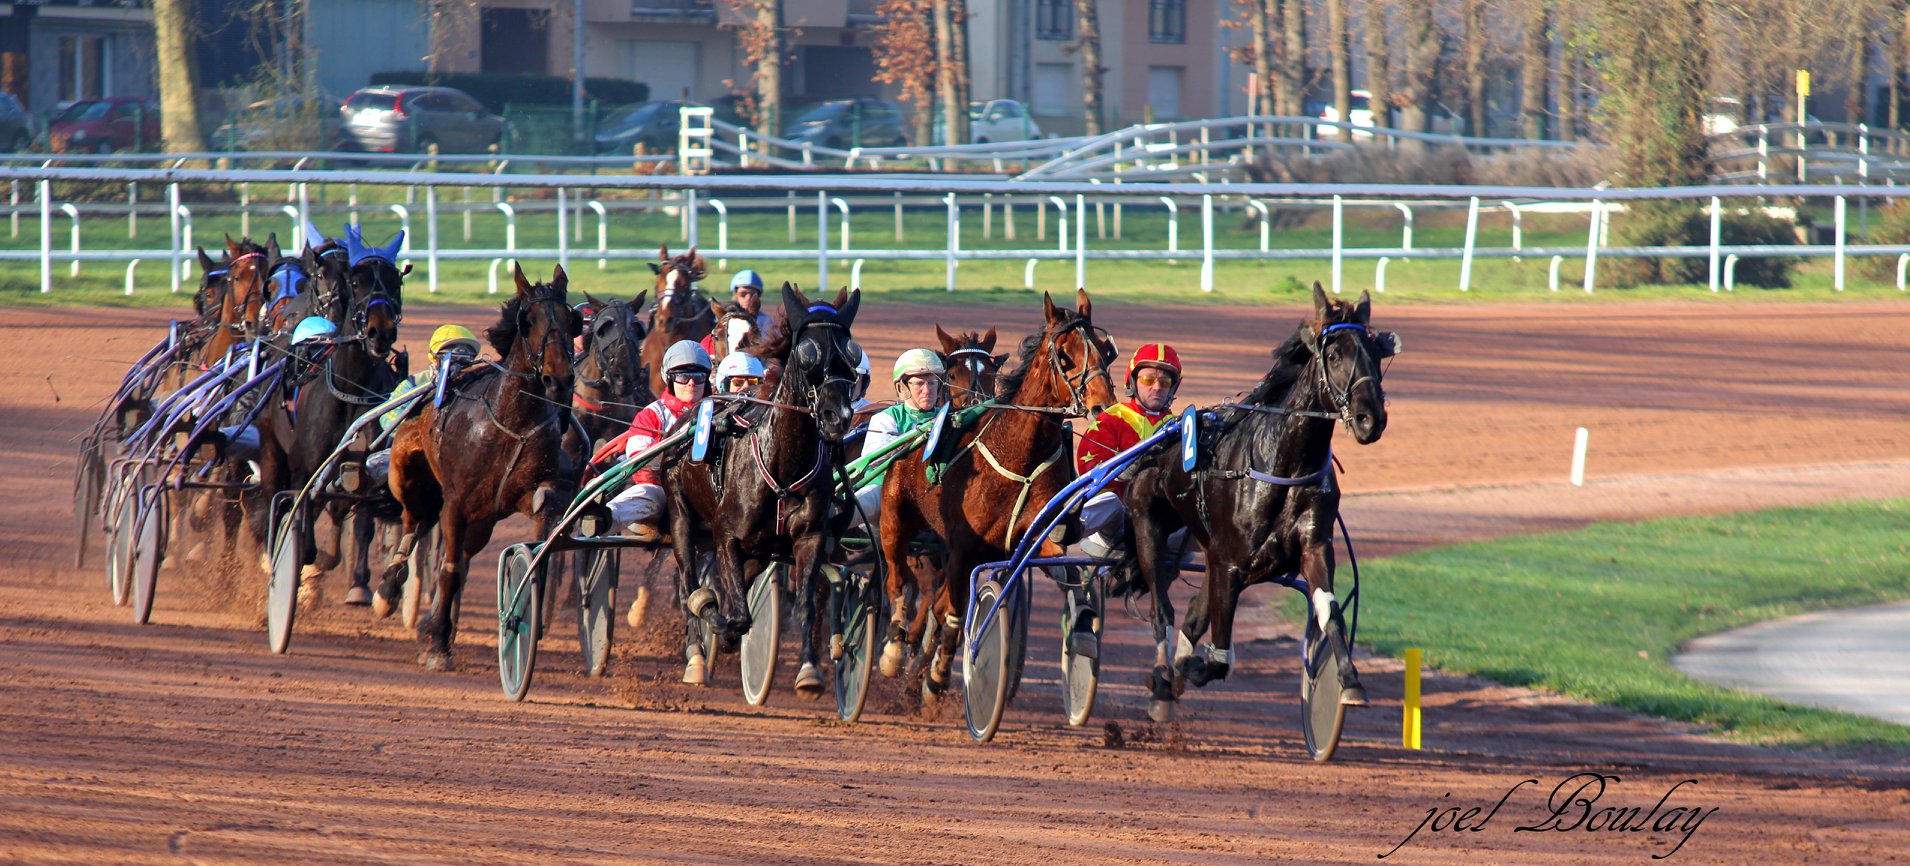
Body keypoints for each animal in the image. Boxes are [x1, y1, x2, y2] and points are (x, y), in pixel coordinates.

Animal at [374, 263, 576, 669]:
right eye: (529, 321)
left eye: (570, 319)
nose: (559, 378)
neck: (510, 423)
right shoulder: (455, 503)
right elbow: (449, 570)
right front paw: (436, 643)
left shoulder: (524, 494)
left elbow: (543, 517)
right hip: (408, 476)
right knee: (414, 522)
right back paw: (389, 591)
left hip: (483, 519)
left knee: (459, 551)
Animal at [664, 282, 859, 695]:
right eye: (807, 351)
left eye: (851, 351)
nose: (838, 417)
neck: (782, 463)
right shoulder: (725, 536)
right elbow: (734, 613)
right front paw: (715, 620)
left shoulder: (809, 537)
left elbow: (804, 605)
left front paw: (809, 670)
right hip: (679, 514)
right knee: (688, 581)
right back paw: (696, 654)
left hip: (759, 549)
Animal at [874, 294, 1115, 692]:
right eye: (1065, 356)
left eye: (1105, 351)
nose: (1102, 405)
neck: (1017, 457)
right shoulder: (960, 549)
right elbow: (954, 615)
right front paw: (939, 674)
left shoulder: (1034, 538)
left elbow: (1065, 566)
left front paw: (1082, 626)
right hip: (893, 520)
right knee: (896, 580)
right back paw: (894, 652)